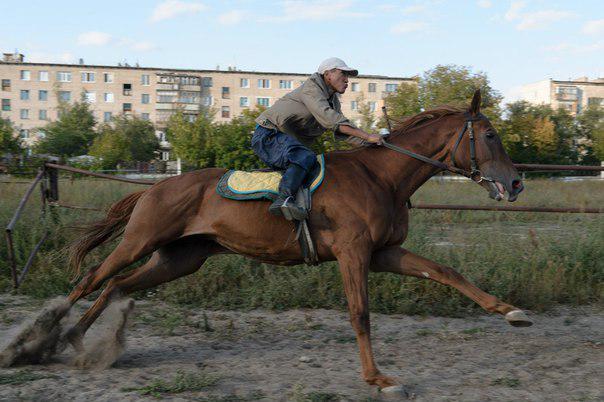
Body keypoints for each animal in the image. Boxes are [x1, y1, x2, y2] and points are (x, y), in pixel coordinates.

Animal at [2, 90, 532, 390]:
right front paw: (376, 378)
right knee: (93, 277)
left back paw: (78, 340)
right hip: (140, 241)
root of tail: (154, 187)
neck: (380, 176)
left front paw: (511, 312)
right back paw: (41, 339)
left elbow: (446, 271)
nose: (515, 183)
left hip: (178, 259)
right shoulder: (353, 254)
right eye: (489, 134)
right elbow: (360, 315)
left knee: (116, 286)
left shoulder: (384, 252)